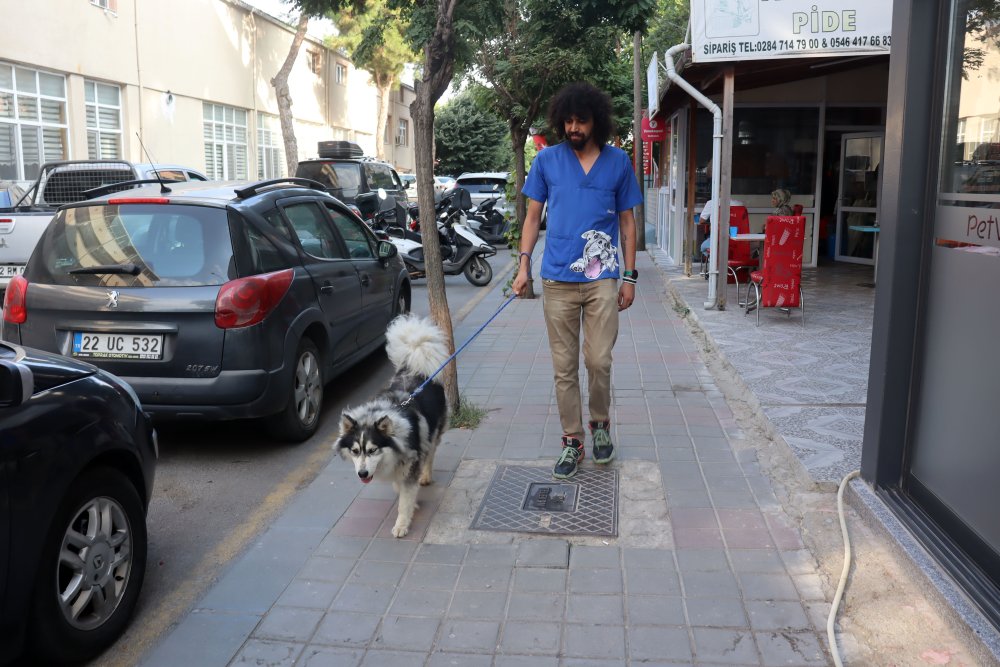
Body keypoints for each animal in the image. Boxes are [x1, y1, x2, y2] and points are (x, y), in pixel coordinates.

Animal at [332, 316, 450, 540]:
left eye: (372, 450)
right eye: (355, 451)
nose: (362, 474)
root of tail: (415, 367)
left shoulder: (411, 463)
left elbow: (405, 497)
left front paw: (402, 524)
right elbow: (398, 487)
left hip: (433, 432)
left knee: (430, 452)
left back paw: (426, 475)